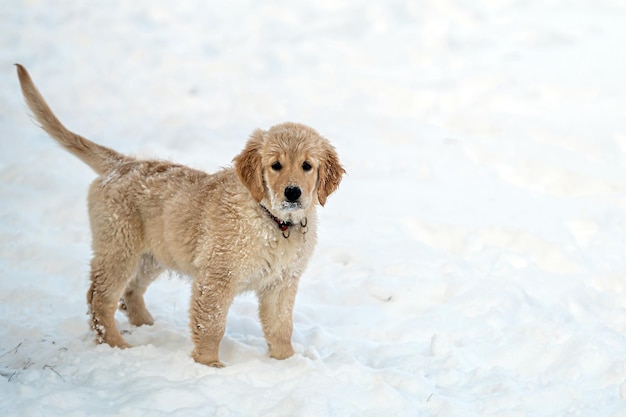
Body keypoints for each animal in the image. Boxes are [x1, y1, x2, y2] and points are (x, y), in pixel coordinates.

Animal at [14, 63, 344, 366]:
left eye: (307, 166)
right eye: (276, 165)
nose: (292, 193)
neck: (273, 221)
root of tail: (121, 164)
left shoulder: (281, 283)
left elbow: (280, 327)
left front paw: (286, 362)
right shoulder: (216, 276)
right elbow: (211, 324)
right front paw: (209, 365)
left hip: (153, 254)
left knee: (130, 291)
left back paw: (147, 326)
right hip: (119, 247)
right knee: (100, 299)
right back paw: (117, 346)